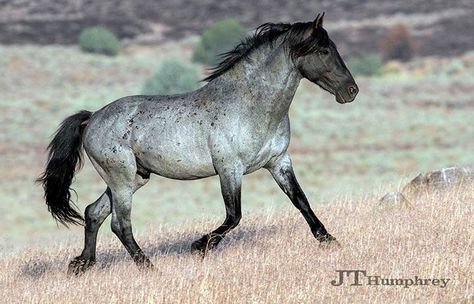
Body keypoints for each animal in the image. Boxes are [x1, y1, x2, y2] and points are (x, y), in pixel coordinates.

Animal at [38, 13, 360, 276]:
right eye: (324, 50)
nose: (351, 91)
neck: (252, 105)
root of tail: (92, 118)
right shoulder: (230, 169)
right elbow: (234, 215)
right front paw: (200, 246)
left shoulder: (279, 161)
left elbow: (300, 200)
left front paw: (329, 241)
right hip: (121, 179)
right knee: (120, 223)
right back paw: (149, 268)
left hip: (133, 178)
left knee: (94, 212)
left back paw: (82, 264)